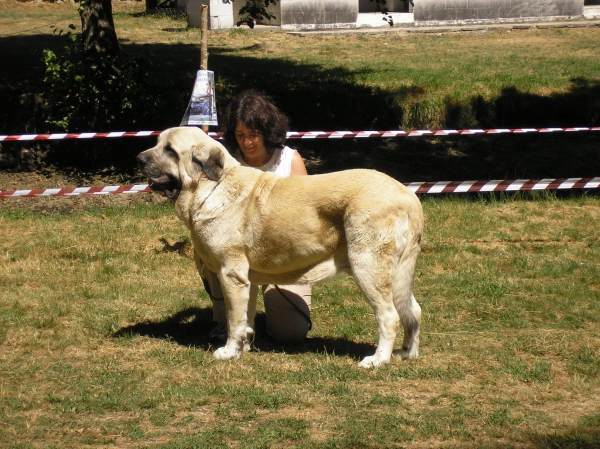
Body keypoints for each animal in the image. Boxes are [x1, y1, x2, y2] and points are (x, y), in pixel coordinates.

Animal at [138, 126, 424, 368]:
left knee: (389, 315)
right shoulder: (246, 280)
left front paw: (229, 352)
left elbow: (233, 319)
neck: (212, 186)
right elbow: (245, 319)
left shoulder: (230, 274)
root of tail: (408, 196)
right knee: (412, 311)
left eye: (170, 150)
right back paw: (406, 353)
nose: (139, 158)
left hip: (368, 267)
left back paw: (378, 360)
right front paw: (243, 348)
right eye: (158, 143)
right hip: (397, 273)